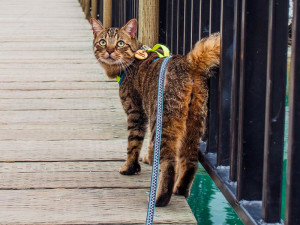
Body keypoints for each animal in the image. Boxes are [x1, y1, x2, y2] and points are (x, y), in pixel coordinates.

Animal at [90, 18, 219, 207]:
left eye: (120, 43)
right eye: (102, 42)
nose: (109, 51)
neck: (132, 61)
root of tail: (187, 64)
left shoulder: (136, 112)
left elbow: (133, 144)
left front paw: (130, 168)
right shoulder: (151, 114)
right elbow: (151, 142)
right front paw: (150, 159)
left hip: (167, 121)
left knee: (170, 164)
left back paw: (159, 200)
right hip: (194, 124)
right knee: (190, 162)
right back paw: (180, 190)